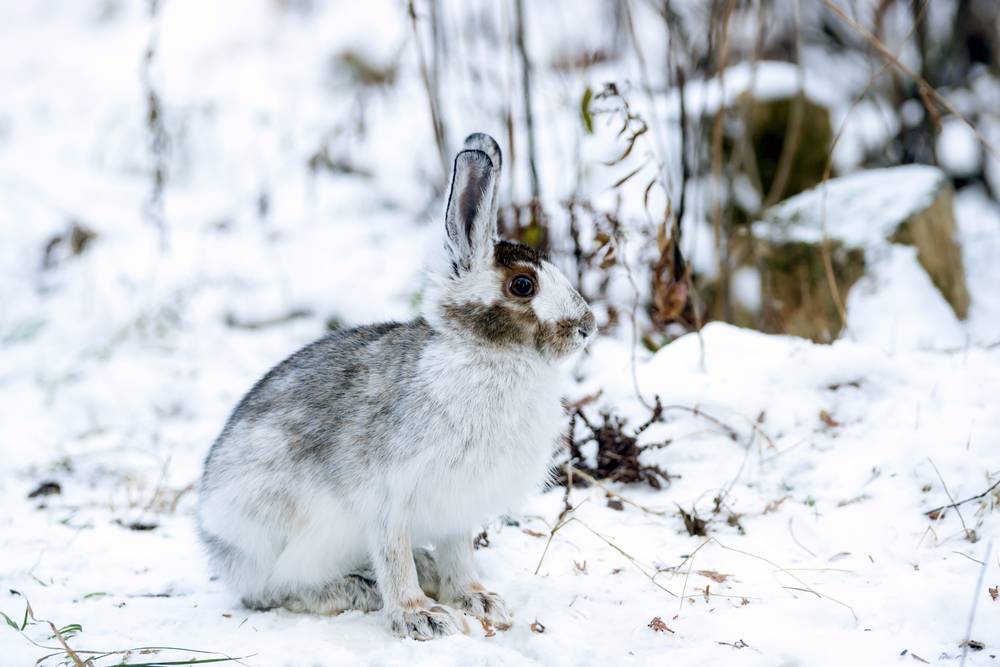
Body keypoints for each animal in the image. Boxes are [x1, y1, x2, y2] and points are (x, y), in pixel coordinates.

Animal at [197, 132, 597, 640]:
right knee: (275, 590)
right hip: (288, 532)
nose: (587, 327)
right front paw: (421, 616)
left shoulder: (456, 507)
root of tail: (216, 546)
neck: (487, 353)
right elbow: (394, 556)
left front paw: (480, 601)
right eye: (523, 285)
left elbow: (459, 554)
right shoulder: (391, 496)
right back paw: (357, 589)